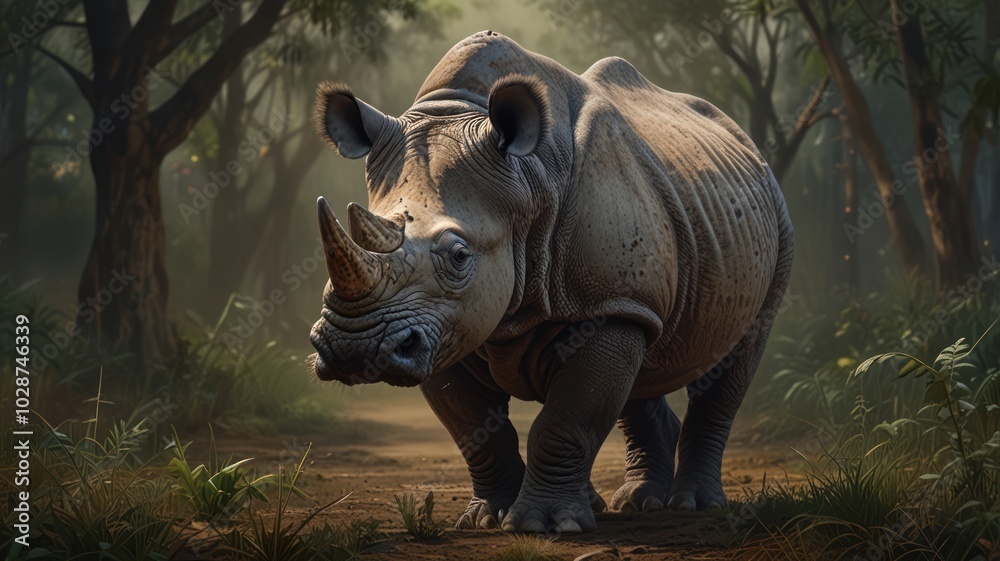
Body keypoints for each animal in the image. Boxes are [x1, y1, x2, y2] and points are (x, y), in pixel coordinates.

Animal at [309, 31, 793, 534]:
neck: (527, 182)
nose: (354, 346)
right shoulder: (442, 325)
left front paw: (541, 526)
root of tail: (743, 142)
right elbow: (475, 430)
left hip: (774, 220)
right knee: (645, 354)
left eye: (459, 256)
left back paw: (691, 506)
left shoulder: (600, 304)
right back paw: (634, 503)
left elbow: (567, 420)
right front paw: (487, 519)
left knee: (733, 358)